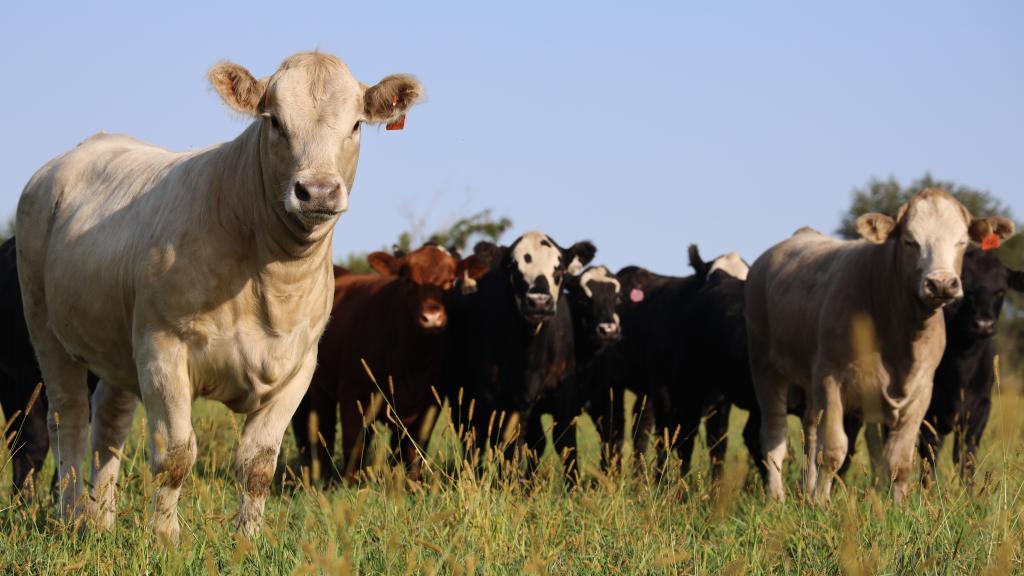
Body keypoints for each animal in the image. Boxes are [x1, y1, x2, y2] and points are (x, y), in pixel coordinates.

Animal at [12, 50, 419, 537]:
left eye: (356, 124)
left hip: (117, 345)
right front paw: (165, 537)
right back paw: (73, 518)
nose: (318, 191)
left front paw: (249, 538)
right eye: (274, 121)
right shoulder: (162, 348)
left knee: (108, 425)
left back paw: (102, 520)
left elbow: (259, 465)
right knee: (68, 417)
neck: (273, 284)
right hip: (45, 326)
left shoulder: (299, 366)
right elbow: (175, 455)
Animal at [292, 242, 487, 479]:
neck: (412, 363)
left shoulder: (428, 405)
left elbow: (413, 451)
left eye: (450, 282)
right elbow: (354, 449)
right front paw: (350, 484)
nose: (432, 318)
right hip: (320, 391)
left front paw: (412, 483)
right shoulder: (353, 396)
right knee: (323, 434)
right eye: (409, 281)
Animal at [444, 230, 598, 481]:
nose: (539, 301)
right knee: (474, 439)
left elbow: (566, 446)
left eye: (559, 269)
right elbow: (505, 446)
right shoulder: (494, 399)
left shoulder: (565, 398)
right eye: (513, 267)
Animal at [745, 186, 1015, 500]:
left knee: (810, 431)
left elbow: (900, 460)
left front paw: (898, 505)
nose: (941, 283)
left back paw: (807, 490)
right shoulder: (831, 378)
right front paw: (823, 502)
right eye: (910, 241)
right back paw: (777, 497)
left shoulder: (922, 391)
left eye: (961, 241)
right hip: (765, 367)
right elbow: (834, 450)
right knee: (775, 436)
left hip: (809, 378)